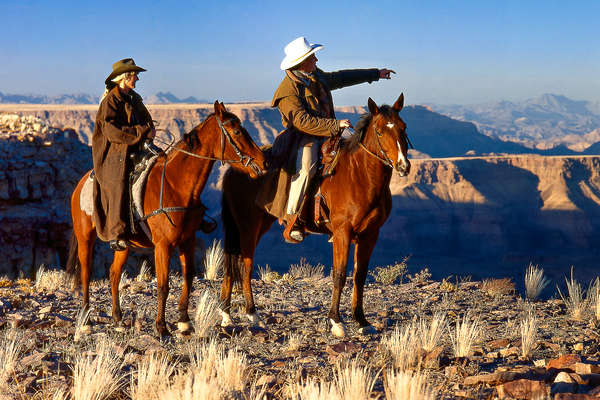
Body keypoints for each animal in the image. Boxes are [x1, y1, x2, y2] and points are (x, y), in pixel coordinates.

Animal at [65, 101, 268, 336]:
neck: (176, 185)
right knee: (86, 274)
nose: (264, 163)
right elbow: (163, 284)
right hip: (85, 237)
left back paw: (118, 320)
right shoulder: (163, 245)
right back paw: (86, 320)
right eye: (236, 131)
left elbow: (188, 277)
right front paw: (161, 327)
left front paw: (184, 321)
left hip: (124, 245)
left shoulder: (187, 240)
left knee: (114, 274)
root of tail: (80, 184)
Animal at [220, 94, 412, 338]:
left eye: (403, 127)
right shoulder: (342, 233)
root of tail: (235, 169)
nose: (403, 166)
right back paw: (251, 314)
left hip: (254, 225)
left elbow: (359, 276)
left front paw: (361, 321)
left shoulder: (370, 235)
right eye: (379, 131)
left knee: (233, 264)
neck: (359, 176)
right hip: (247, 226)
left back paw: (226, 314)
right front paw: (336, 322)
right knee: (244, 265)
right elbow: (339, 275)